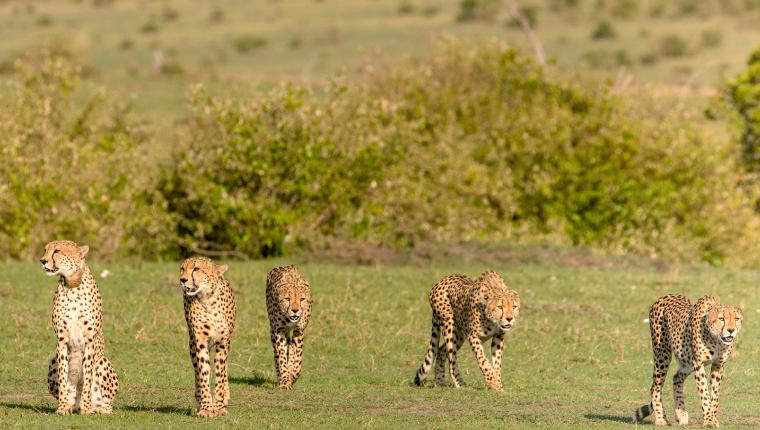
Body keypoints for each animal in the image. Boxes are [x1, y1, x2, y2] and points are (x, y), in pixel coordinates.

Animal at [40, 240, 119, 414]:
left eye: (57, 251)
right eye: (45, 250)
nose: (42, 261)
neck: (72, 286)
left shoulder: (89, 340)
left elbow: (87, 375)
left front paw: (86, 407)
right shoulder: (61, 340)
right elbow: (63, 375)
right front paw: (62, 407)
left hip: (102, 361)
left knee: (107, 404)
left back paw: (96, 409)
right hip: (53, 361)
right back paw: (71, 405)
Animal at [180, 256, 236, 414]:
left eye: (196, 269)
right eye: (182, 268)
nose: (182, 280)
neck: (207, 299)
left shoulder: (223, 342)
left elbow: (220, 374)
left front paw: (219, 406)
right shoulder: (200, 342)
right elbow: (203, 372)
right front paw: (206, 407)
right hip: (192, 345)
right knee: (196, 371)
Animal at [632, 294, 744, 428]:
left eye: (736, 319)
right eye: (721, 319)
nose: (731, 330)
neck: (716, 339)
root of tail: (664, 297)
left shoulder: (719, 364)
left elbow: (715, 395)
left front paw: (713, 418)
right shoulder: (698, 364)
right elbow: (704, 393)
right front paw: (709, 420)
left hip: (687, 361)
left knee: (676, 377)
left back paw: (681, 413)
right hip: (662, 354)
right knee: (655, 387)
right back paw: (661, 419)